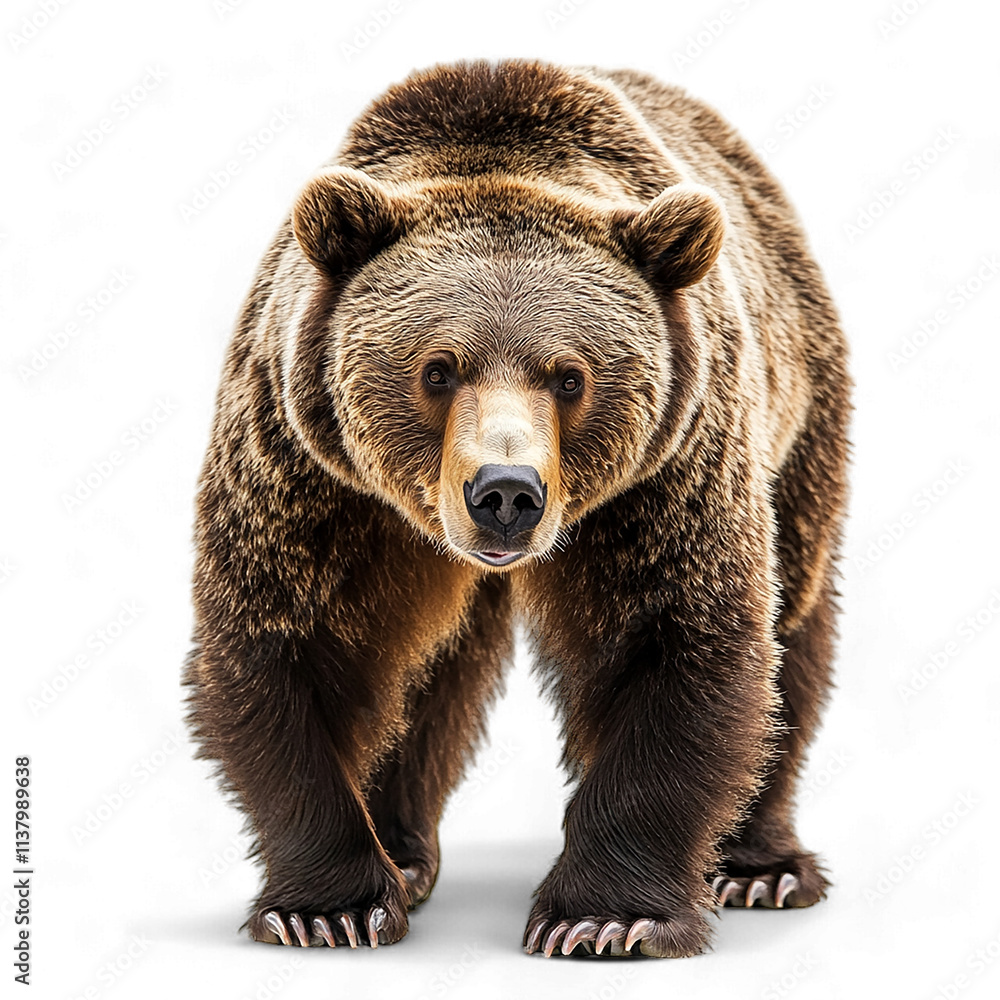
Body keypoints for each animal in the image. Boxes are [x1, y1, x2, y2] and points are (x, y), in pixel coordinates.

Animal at [183, 59, 850, 959]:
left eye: (571, 376)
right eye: (437, 368)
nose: (506, 492)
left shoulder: (664, 476)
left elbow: (674, 639)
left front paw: (602, 916)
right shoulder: (312, 475)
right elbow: (290, 643)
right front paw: (330, 907)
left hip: (798, 425)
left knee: (795, 632)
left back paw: (759, 867)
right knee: (427, 672)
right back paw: (405, 855)